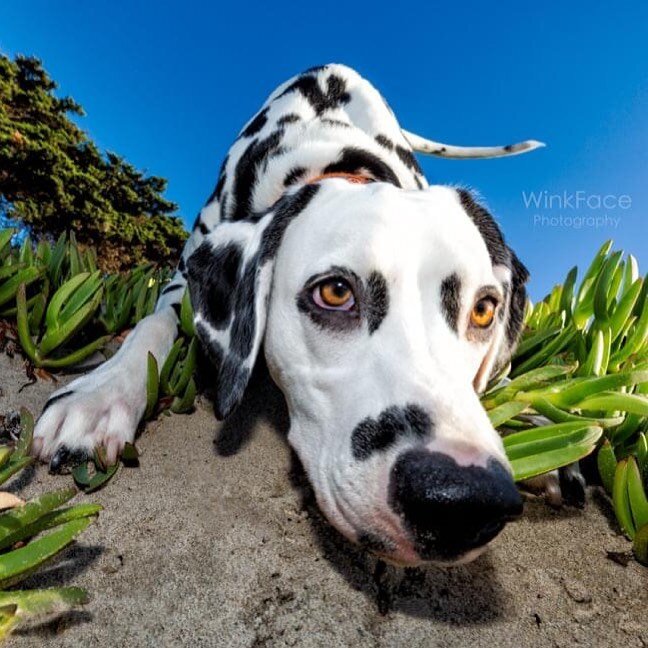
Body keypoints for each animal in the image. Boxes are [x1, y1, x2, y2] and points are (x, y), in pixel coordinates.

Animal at [33, 63, 544, 564]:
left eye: (484, 310)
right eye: (335, 292)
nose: (465, 499)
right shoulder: (185, 275)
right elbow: (152, 325)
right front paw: (99, 396)